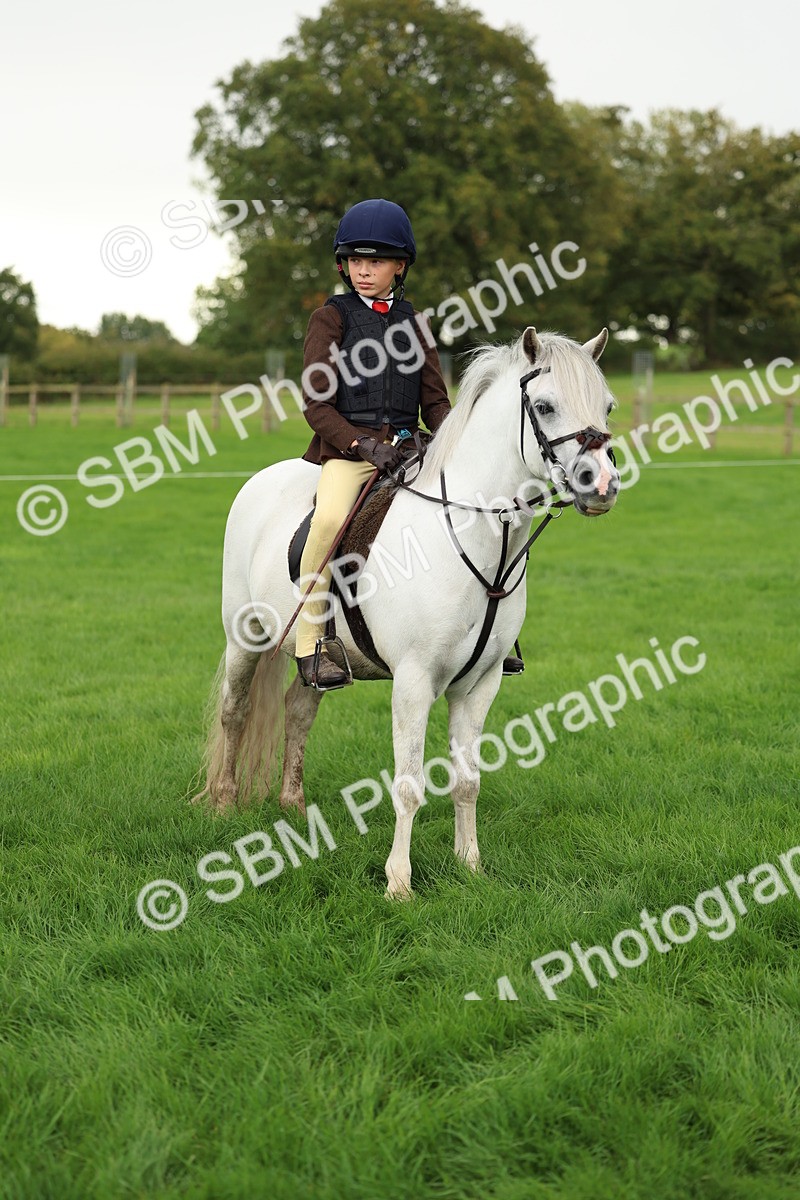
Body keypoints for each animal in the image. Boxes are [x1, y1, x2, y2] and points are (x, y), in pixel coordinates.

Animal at [192, 326, 620, 898]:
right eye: (546, 406)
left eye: (607, 406)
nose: (602, 485)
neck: (471, 533)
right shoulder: (414, 682)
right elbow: (410, 784)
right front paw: (399, 883)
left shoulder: (480, 684)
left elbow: (468, 779)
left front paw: (470, 865)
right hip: (246, 637)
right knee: (235, 711)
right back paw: (222, 804)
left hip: (318, 659)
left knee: (298, 710)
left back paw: (293, 806)